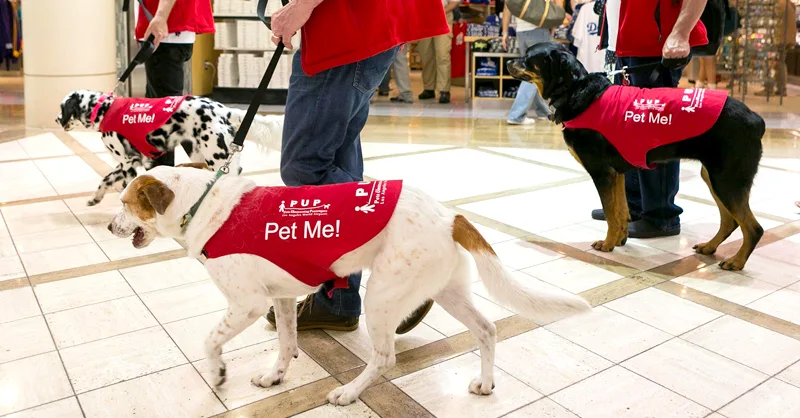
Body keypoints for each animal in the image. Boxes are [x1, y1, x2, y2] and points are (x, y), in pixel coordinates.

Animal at [109, 165, 592, 406]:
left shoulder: (247, 304)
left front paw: (218, 374)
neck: (204, 204)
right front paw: (275, 375)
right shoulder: (282, 297)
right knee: (488, 330)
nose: (111, 227)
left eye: (126, 203)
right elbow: (287, 342)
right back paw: (487, 384)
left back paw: (349, 392)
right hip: (447, 290)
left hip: (381, 295)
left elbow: (210, 341)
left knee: (385, 357)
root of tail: (448, 214)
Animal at [510, 42, 764, 272]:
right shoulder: (617, 174)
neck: (576, 91)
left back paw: (736, 261)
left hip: (727, 179)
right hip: (714, 176)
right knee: (730, 221)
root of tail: (756, 120)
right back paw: (710, 247)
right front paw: (619, 239)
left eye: (528, 57)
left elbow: (611, 213)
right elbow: (621, 211)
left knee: (753, 228)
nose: (509, 62)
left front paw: (607, 244)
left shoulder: (602, 173)